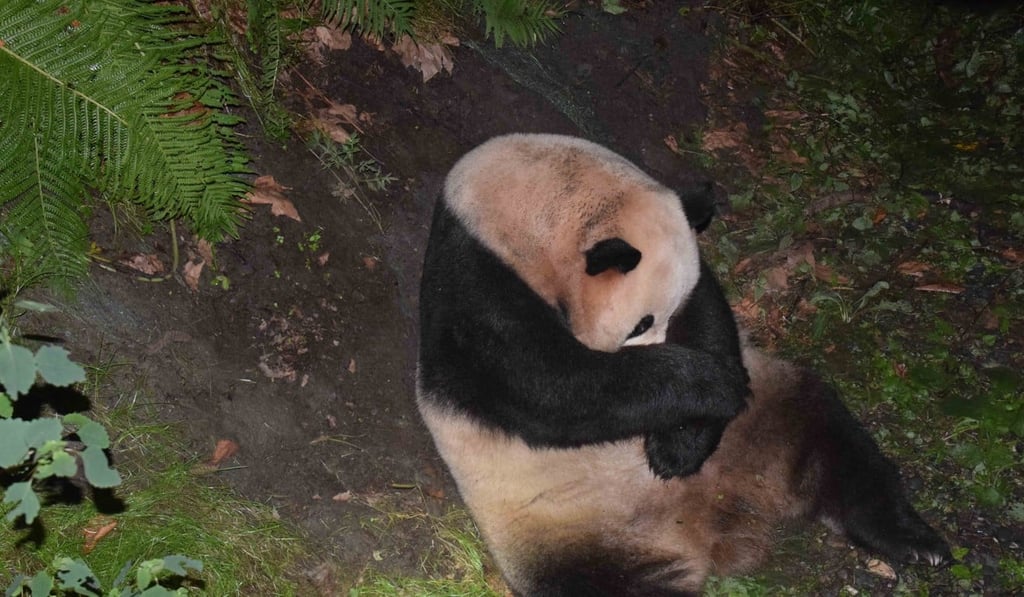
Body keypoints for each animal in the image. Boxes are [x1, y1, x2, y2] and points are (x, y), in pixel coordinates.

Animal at [416, 134, 950, 596]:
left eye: (668, 314)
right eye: (641, 323)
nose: (659, 347)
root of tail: (718, 522)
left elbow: (712, 313)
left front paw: (678, 446)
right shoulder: (477, 288)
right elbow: (549, 387)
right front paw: (710, 386)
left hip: (771, 412)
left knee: (835, 442)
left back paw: (912, 540)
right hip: (572, 536)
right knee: (609, 586)